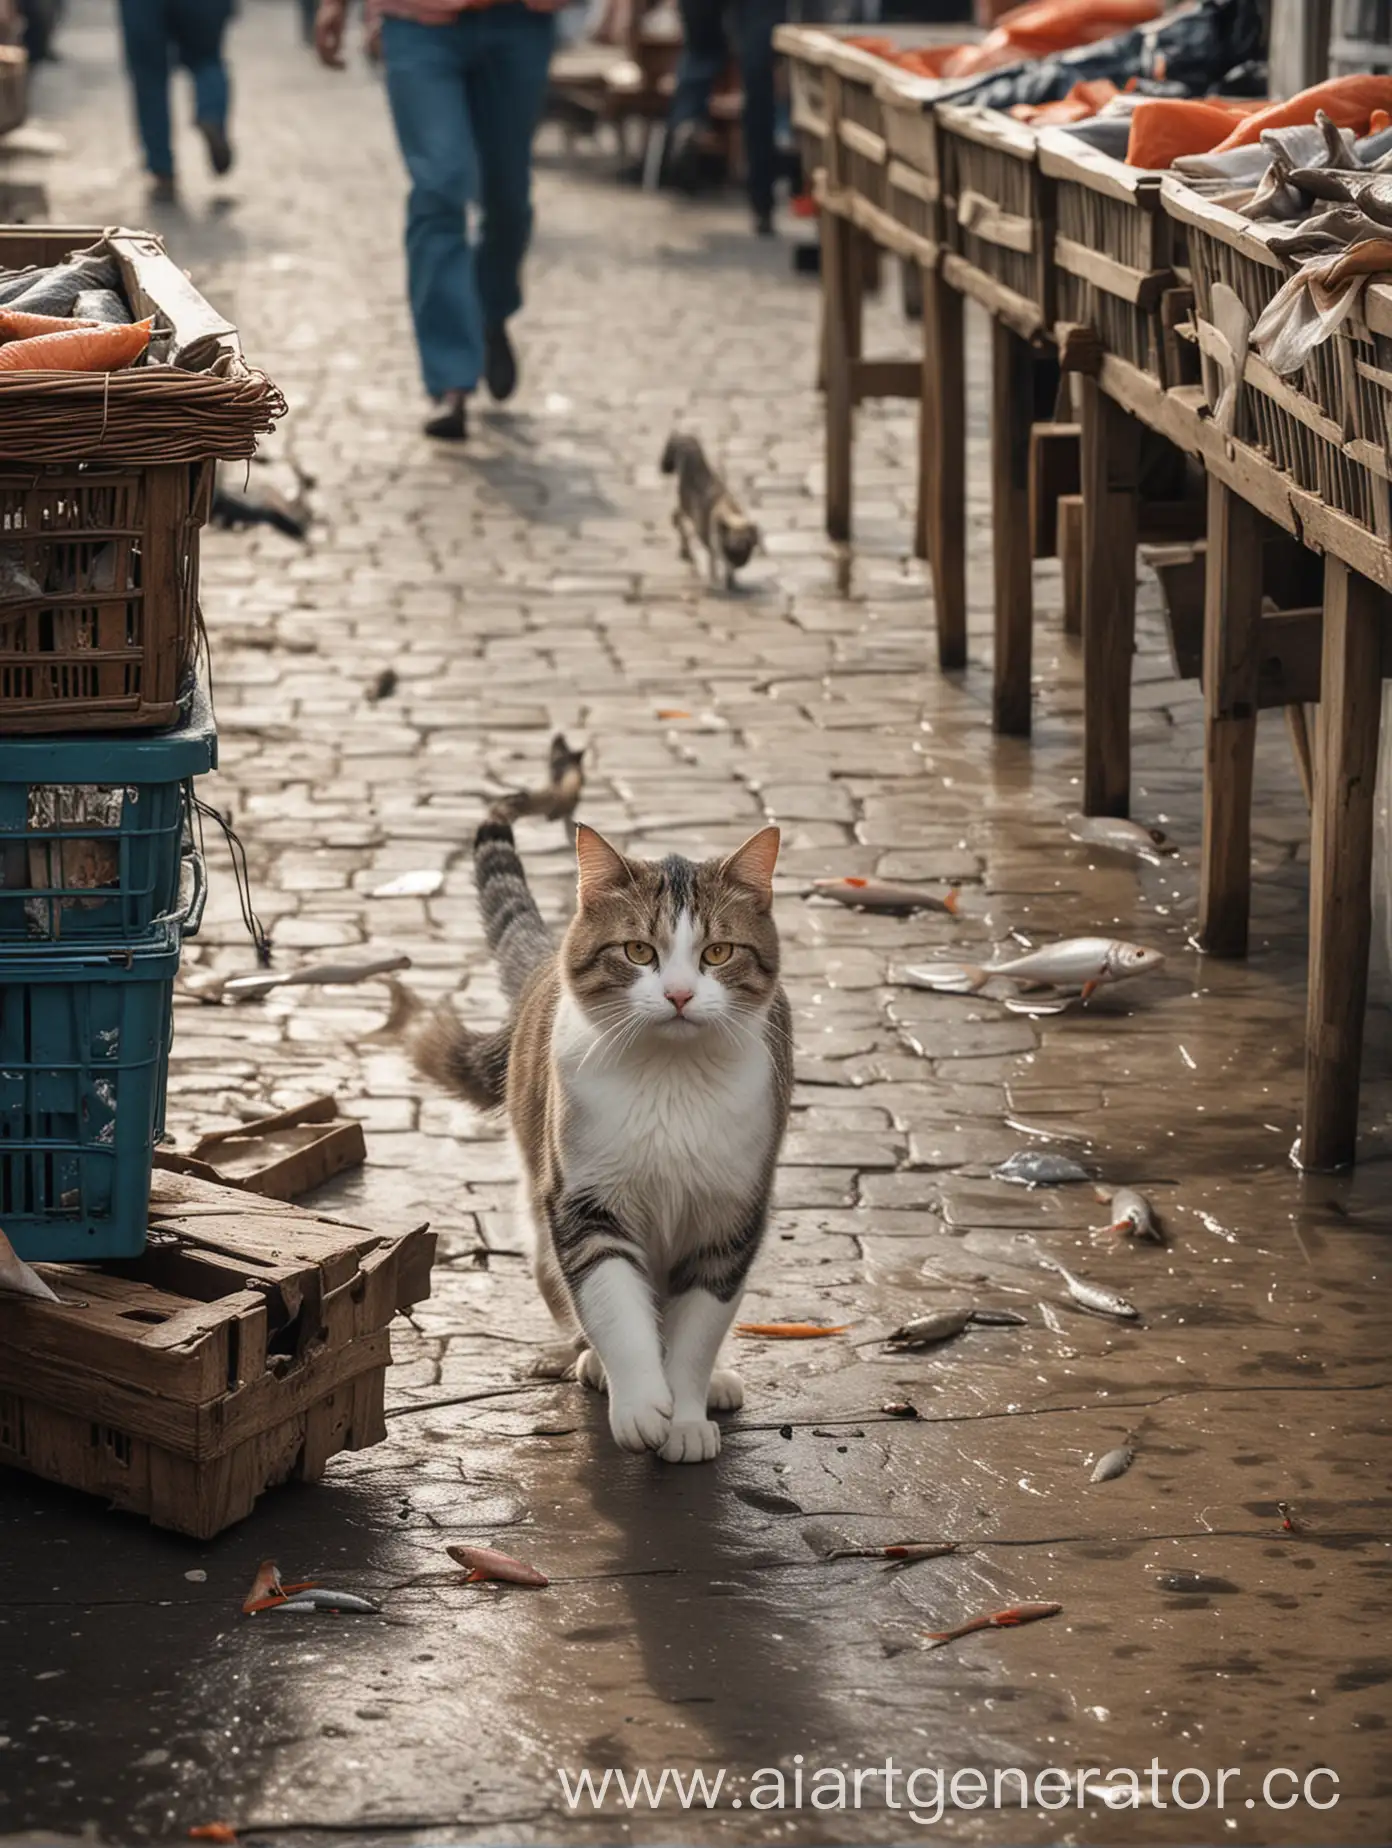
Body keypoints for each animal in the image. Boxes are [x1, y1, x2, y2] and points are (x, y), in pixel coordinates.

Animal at [412, 742, 787, 1463]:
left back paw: (718, 1381)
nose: (678, 995)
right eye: (638, 951)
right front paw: (640, 1403)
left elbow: (697, 1330)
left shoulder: (731, 1215)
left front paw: (687, 1413)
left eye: (718, 952)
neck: (670, 1081)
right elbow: (615, 1306)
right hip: (541, 1216)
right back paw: (591, 1364)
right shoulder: (584, 1204)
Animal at [654, 428, 754, 587]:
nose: (740, 563)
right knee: (678, 521)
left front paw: (731, 580)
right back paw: (686, 553)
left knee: (676, 518)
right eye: (731, 549)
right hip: (686, 509)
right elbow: (715, 565)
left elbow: (727, 569)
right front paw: (720, 581)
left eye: (748, 549)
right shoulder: (715, 547)